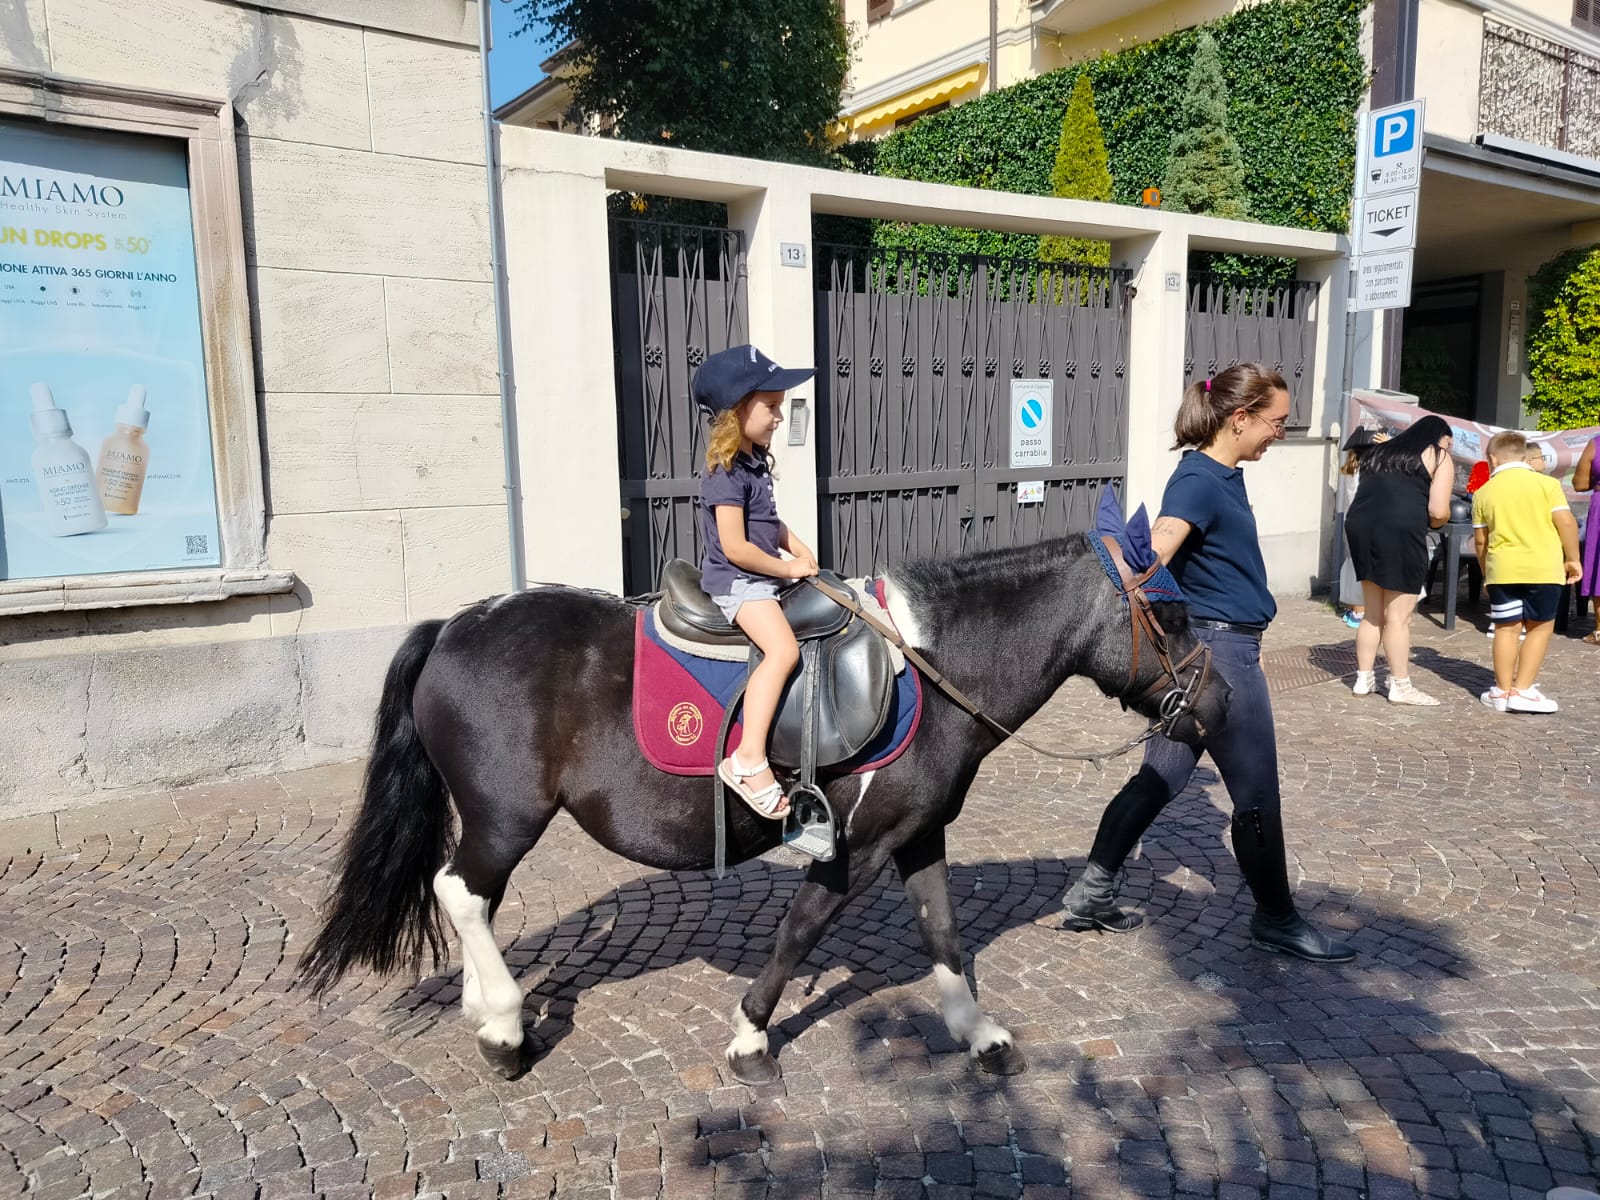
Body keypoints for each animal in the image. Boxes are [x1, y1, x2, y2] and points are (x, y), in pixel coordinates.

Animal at [297, 531, 1222, 1088]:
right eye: (1172, 614)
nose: (1215, 706)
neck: (932, 667)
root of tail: (453, 627)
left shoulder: (919, 831)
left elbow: (943, 932)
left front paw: (979, 1033)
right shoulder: (860, 842)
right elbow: (799, 931)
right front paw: (748, 1039)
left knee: (471, 900)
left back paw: (485, 1010)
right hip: (505, 816)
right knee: (462, 892)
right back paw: (501, 1028)